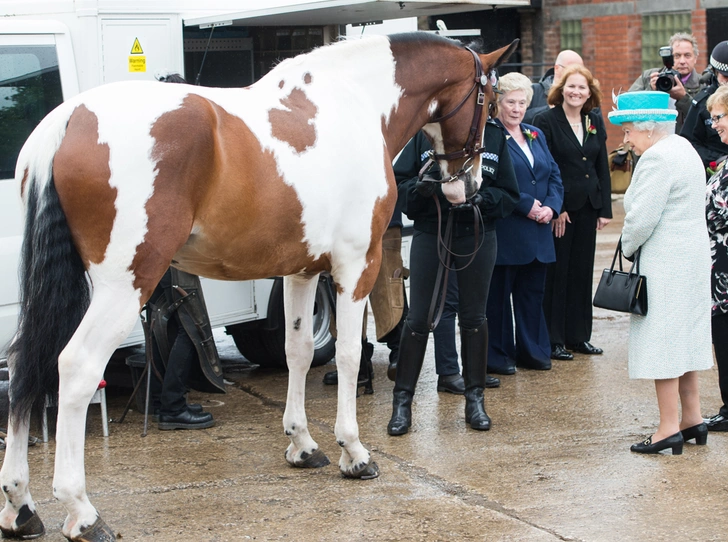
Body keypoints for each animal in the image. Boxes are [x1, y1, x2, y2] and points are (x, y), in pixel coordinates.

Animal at [0, 31, 516, 540]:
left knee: (25, 362)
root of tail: (69, 119)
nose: (466, 188)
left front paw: (302, 445)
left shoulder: (302, 271)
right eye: (489, 103)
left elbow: (298, 352)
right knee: (76, 368)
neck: (354, 102)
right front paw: (354, 452)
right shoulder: (356, 266)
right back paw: (81, 511)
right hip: (125, 284)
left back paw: (21, 506)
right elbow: (349, 355)